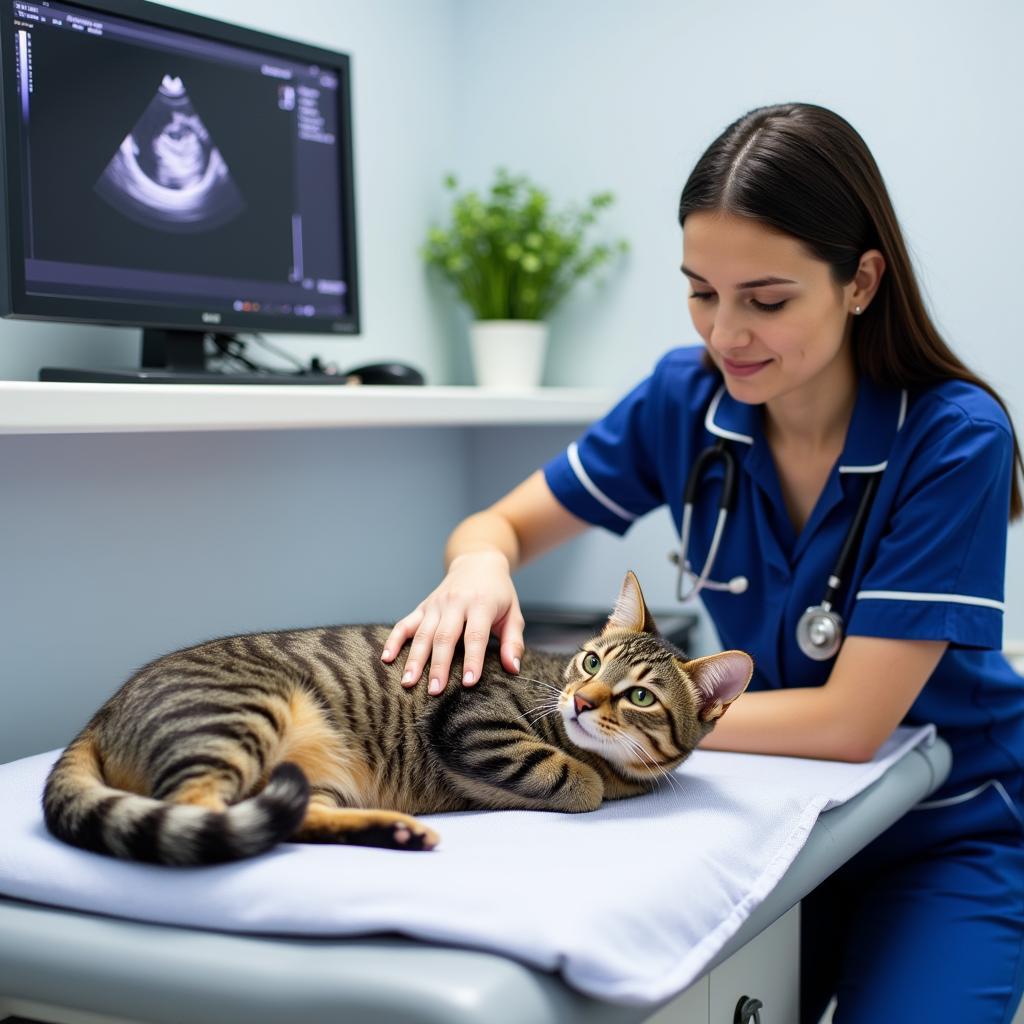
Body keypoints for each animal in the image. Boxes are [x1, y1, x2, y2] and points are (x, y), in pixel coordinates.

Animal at [41, 569, 753, 864]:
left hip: (310, 776)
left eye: (640, 697)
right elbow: (575, 782)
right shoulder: (476, 724)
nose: (581, 701)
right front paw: (583, 777)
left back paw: (394, 831)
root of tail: (99, 715)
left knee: (291, 817)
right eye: (591, 662)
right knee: (205, 812)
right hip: (239, 716)